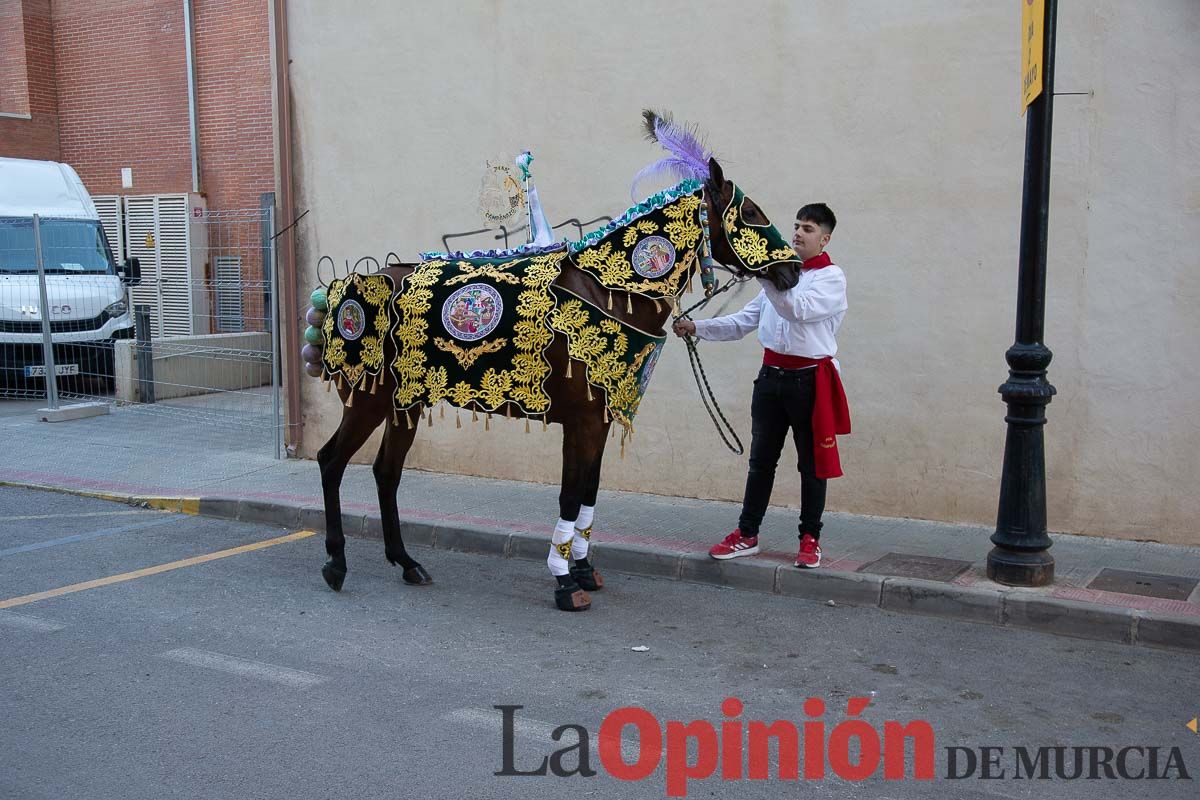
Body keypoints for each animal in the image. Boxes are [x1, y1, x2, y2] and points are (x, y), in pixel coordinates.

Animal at [304, 110, 801, 614]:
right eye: (751, 213)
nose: (793, 270)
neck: (609, 293)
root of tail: (342, 288)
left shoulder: (598, 421)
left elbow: (587, 495)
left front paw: (581, 568)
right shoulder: (583, 421)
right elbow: (569, 497)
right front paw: (564, 581)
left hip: (405, 402)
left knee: (386, 473)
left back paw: (406, 562)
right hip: (367, 400)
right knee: (331, 461)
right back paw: (335, 563)